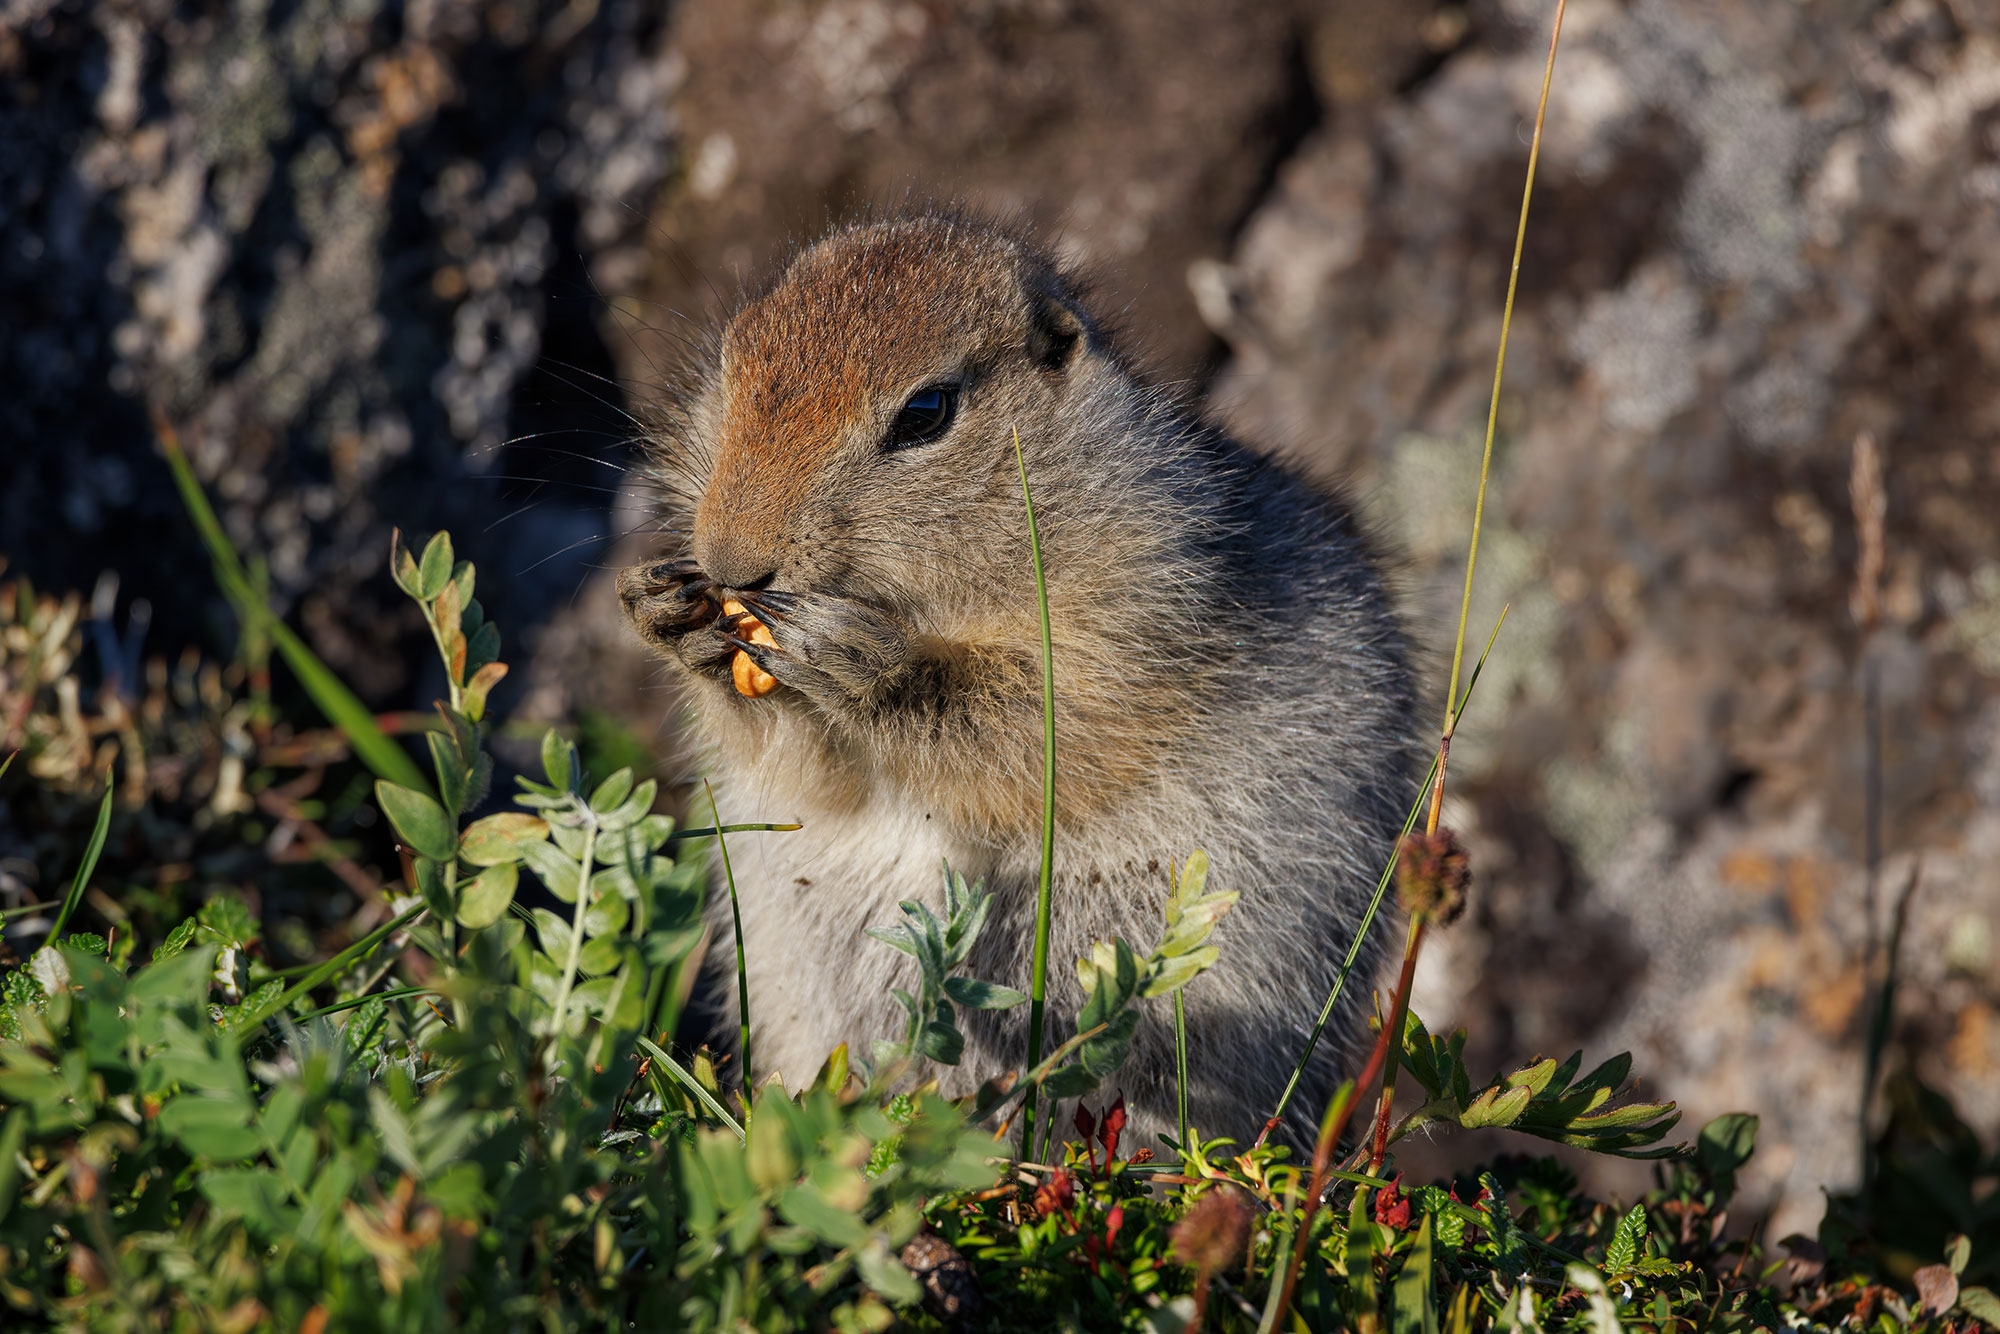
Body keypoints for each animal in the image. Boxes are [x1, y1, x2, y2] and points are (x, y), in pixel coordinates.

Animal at [616, 211, 1416, 1152]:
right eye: (732, 364)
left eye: (926, 413)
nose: (728, 561)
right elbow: (806, 775)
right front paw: (666, 613)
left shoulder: (1142, 608)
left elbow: (1033, 731)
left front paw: (865, 665)